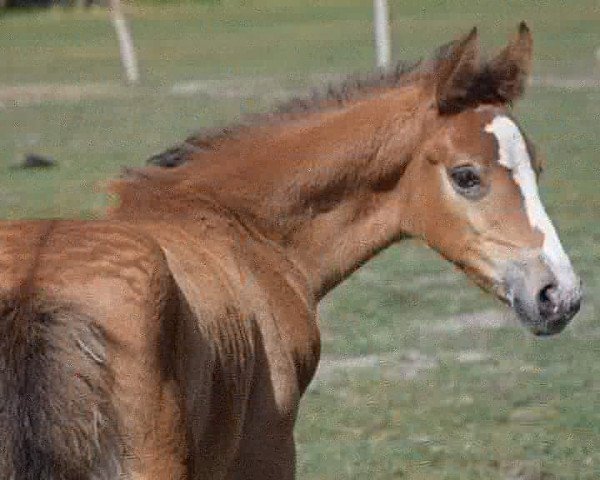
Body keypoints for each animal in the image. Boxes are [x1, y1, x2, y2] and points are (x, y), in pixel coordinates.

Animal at [1, 23, 580, 480]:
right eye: (466, 176)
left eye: (537, 165)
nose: (560, 294)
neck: (244, 231)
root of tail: (33, 293)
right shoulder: (269, 448)